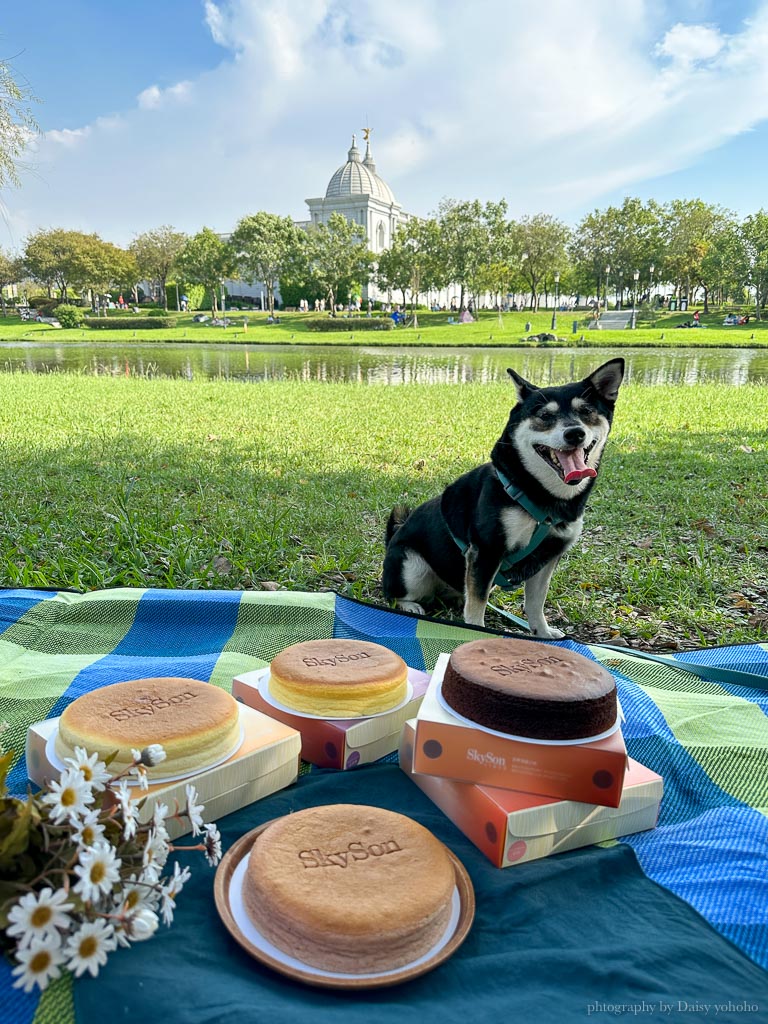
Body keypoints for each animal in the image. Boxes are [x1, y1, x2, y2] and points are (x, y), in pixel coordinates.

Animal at [382, 358, 626, 630]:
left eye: (586, 412)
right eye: (545, 416)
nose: (575, 433)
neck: (542, 496)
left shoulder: (547, 558)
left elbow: (536, 602)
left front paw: (541, 631)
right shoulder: (486, 551)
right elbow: (477, 604)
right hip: (411, 565)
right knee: (395, 594)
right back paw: (410, 605)